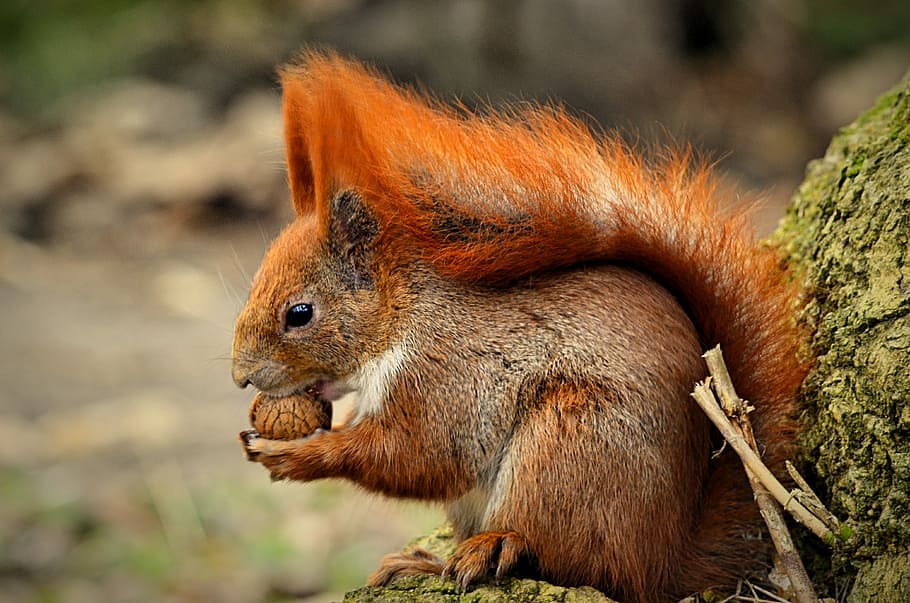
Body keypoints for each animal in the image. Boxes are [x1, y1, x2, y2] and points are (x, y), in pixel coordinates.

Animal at [231, 51, 807, 603]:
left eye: (299, 314)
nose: (241, 377)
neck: (403, 318)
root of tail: (665, 563)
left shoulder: (448, 376)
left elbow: (418, 456)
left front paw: (296, 455)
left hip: (569, 446)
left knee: (568, 558)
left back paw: (495, 546)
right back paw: (427, 562)